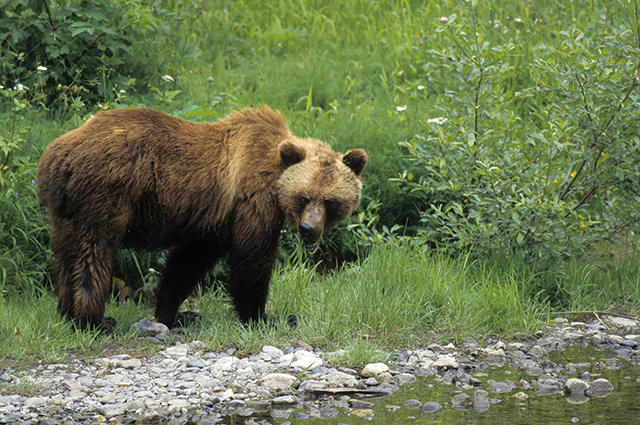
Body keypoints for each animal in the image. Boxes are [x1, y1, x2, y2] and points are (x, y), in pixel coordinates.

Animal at [37, 106, 368, 332]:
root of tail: (59, 153)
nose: (308, 229)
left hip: (62, 209)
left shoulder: (216, 221)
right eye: (303, 197)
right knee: (94, 253)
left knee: (64, 254)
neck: (276, 175)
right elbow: (251, 261)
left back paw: (66, 312)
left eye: (330, 201)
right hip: (106, 192)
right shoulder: (251, 199)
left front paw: (174, 313)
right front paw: (266, 317)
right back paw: (95, 320)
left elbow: (188, 262)